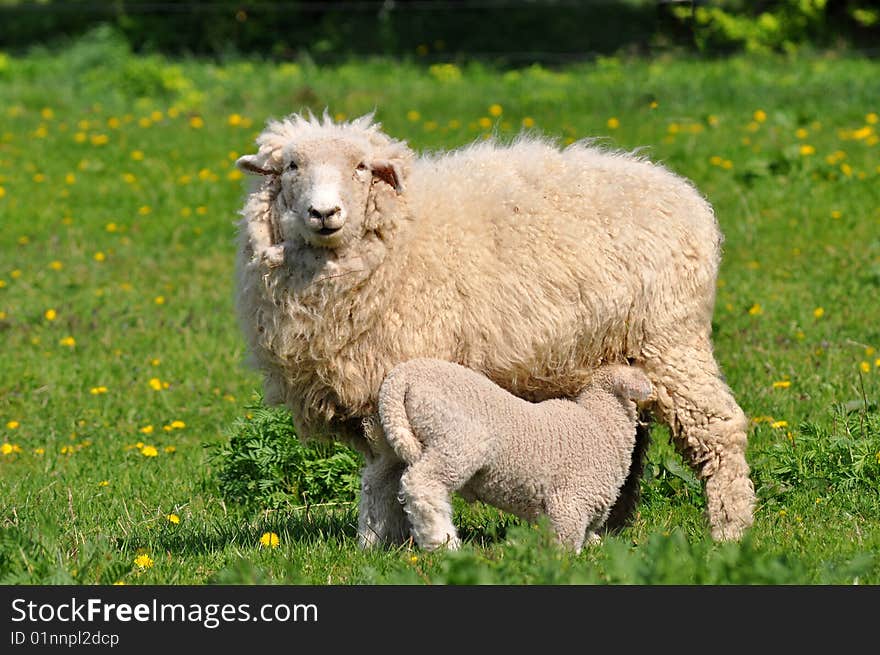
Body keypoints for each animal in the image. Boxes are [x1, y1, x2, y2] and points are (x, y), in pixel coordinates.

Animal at [372, 358, 652, 552]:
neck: (602, 423)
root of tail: (403, 376)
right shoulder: (569, 502)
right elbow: (566, 544)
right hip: (456, 440)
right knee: (422, 484)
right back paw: (443, 544)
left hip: (396, 439)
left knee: (377, 486)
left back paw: (371, 541)